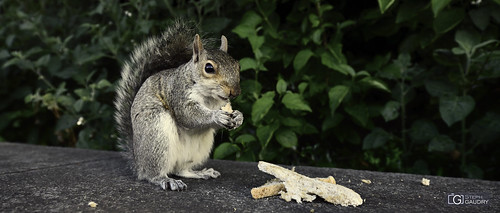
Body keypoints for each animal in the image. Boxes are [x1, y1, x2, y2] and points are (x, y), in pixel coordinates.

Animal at [115, 20, 244, 191]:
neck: (210, 98)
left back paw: (200, 173)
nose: (235, 92)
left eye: (237, 66)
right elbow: (188, 115)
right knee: (153, 174)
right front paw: (216, 116)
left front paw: (238, 117)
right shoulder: (178, 94)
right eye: (209, 68)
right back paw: (165, 179)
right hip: (156, 133)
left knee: (181, 170)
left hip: (198, 149)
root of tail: (139, 163)